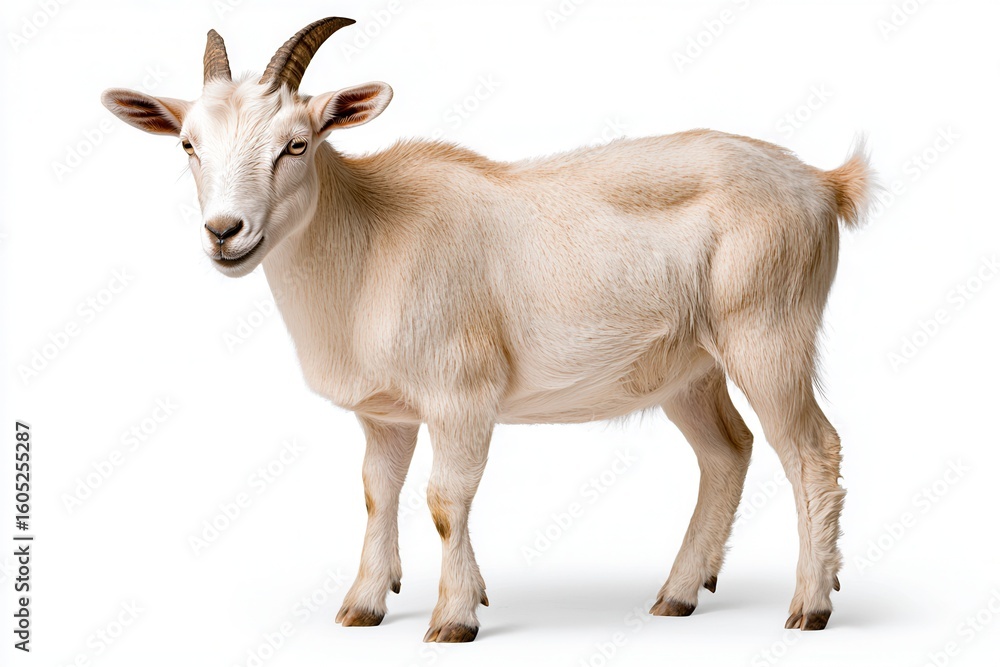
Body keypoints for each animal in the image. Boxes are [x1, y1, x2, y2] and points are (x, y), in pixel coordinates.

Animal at [102, 17, 875, 642]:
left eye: (297, 143)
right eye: (187, 144)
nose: (225, 232)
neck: (371, 236)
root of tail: (822, 183)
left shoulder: (461, 394)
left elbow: (446, 500)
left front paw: (454, 617)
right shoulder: (386, 415)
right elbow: (377, 492)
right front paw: (363, 605)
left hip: (768, 329)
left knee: (811, 448)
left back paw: (810, 606)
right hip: (690, 365)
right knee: (726, 451)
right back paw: (679, 594)